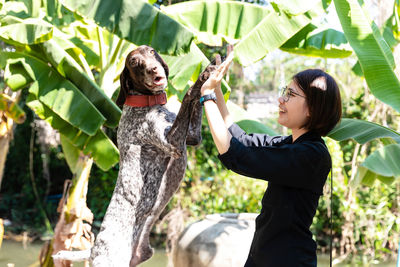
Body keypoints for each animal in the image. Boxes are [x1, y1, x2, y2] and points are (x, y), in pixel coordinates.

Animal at [90, 45, 216, 266]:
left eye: (150, 51)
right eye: (134, 62)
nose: (153, 69)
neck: (147, 103)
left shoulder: (192, 136)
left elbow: (195, 106)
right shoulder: (174, 144)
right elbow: (188, 95)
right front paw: (203, 76)